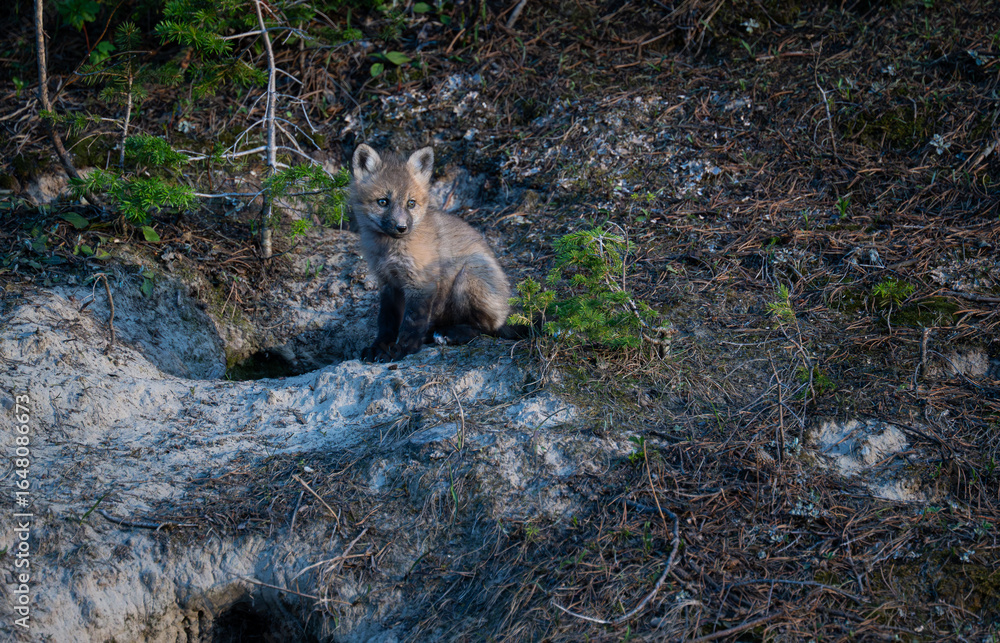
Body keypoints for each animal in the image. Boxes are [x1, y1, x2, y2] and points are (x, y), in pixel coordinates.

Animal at [349, 144, 512, 362]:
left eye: (411, 203)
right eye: (382, 202)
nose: (401, 227)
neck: (389, 251)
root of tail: (506, 311)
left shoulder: (421, 282)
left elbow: (412, 323)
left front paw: (403, 349)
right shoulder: (388, 283)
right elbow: (386, 322)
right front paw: (379, 347)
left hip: (468, 276)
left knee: (485, 328)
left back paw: (451, 334)